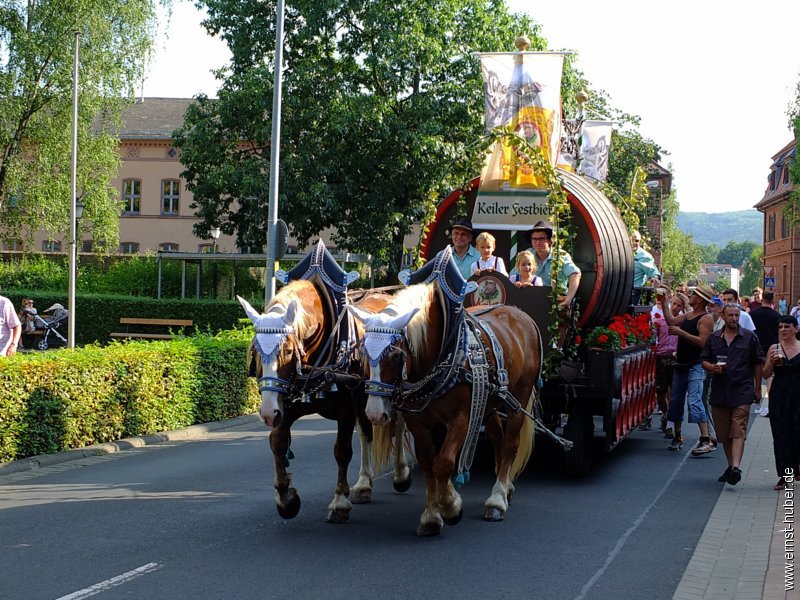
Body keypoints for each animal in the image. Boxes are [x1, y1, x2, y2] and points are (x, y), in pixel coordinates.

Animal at [238, 278, 412, 524]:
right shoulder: (286, 406)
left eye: (288, 351)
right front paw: (286, 499)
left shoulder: (346, 410)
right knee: (366, 434)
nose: (267, 413)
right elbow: (278, 443)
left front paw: (340, 502)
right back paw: (364, 484)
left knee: (398, 424)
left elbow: (342, 451)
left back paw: (400, 473)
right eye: (255, 352)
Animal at [352, 278, 544, 536]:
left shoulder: (461, 417)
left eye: (394, 356)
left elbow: (443, 463)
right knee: (496, 436)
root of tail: (520, 313)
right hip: (490, 402)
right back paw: (506, 487)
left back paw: (497, 498)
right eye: (363, 354)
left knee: (510, 444)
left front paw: (451, 507)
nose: (374, 413)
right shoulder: (418, 422)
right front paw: (432, 516)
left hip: (519, 397)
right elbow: (428, 463)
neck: (440, 355)